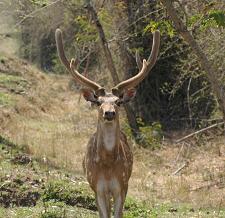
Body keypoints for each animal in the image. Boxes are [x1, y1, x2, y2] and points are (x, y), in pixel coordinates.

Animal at [55, 28, 161, 217]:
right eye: (98, 102)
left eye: (118, 102)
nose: (109, 113)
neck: (108, 166)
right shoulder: (97, 187)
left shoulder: (122, 185)